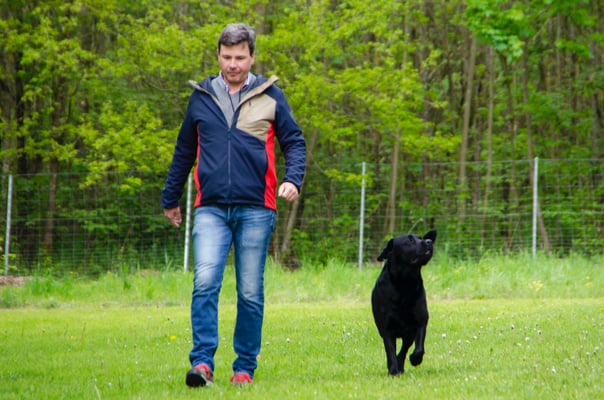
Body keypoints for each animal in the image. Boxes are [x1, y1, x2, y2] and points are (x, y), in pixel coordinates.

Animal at [371, 230, 437, 375]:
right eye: (409, 240)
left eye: (421, 238)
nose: (429, 241)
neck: (405, 283)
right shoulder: (386, 329)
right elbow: (390, 351)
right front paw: (393, 370)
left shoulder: (420, 322)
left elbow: (418, 348)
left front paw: (415, 359)